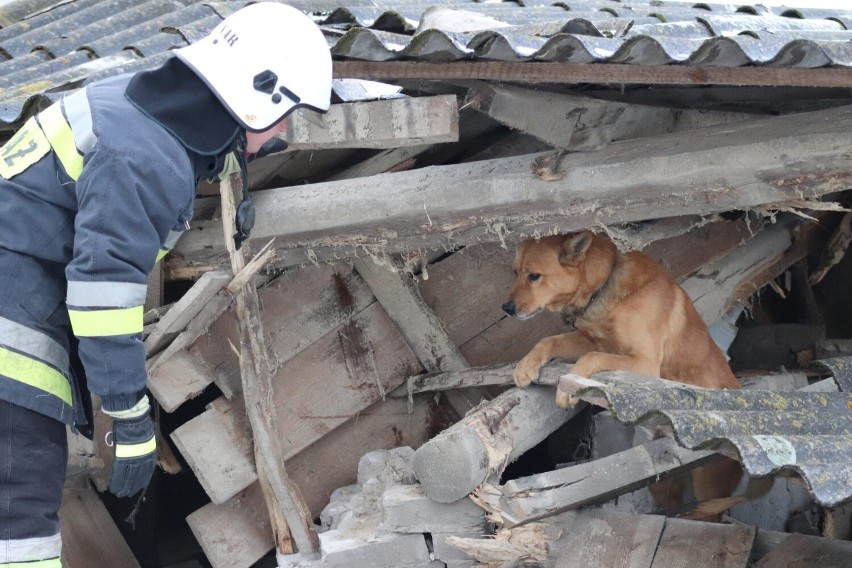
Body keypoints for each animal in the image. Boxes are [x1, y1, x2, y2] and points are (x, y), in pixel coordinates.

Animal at [502, 231, 744, 510]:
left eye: (534, 276)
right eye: (515, 272)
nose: (506, 308)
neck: (603, 286)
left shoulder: (644, 362)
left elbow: (591, 357)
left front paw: (567, 390)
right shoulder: (589, 340)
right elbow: (549, 340)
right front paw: (526, 365)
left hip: (708, 486)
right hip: (663, 486)